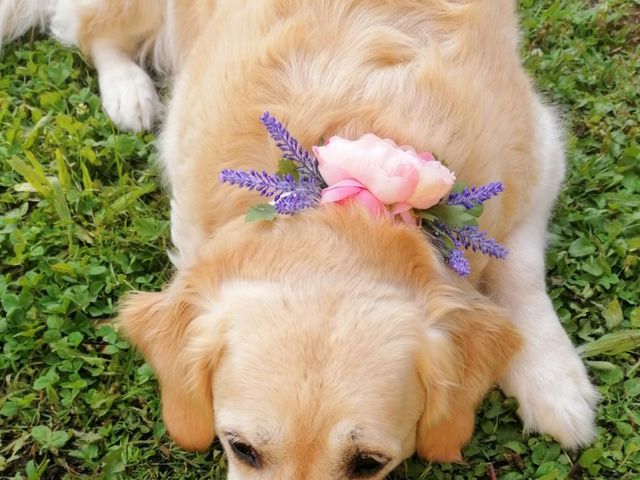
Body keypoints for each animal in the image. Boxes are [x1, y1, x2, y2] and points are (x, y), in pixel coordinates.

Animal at [1, 0, 600, 476]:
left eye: (368, 463)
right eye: (240, 447)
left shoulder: (540, 151)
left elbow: (519, 270)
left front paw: (555, 382)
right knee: (92, 35)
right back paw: (130, 92)